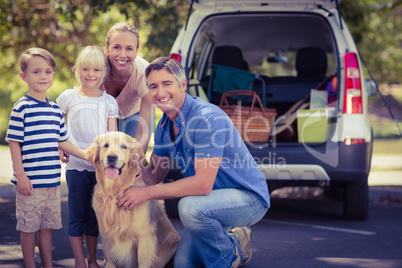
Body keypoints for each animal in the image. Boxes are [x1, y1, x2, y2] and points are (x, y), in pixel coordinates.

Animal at [86, 132, 181, 268]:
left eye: (124, 147)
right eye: (105, 145)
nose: (111, 157)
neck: (115, 191)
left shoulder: (144, 236)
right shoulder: (106, 236)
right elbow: (110, 260)